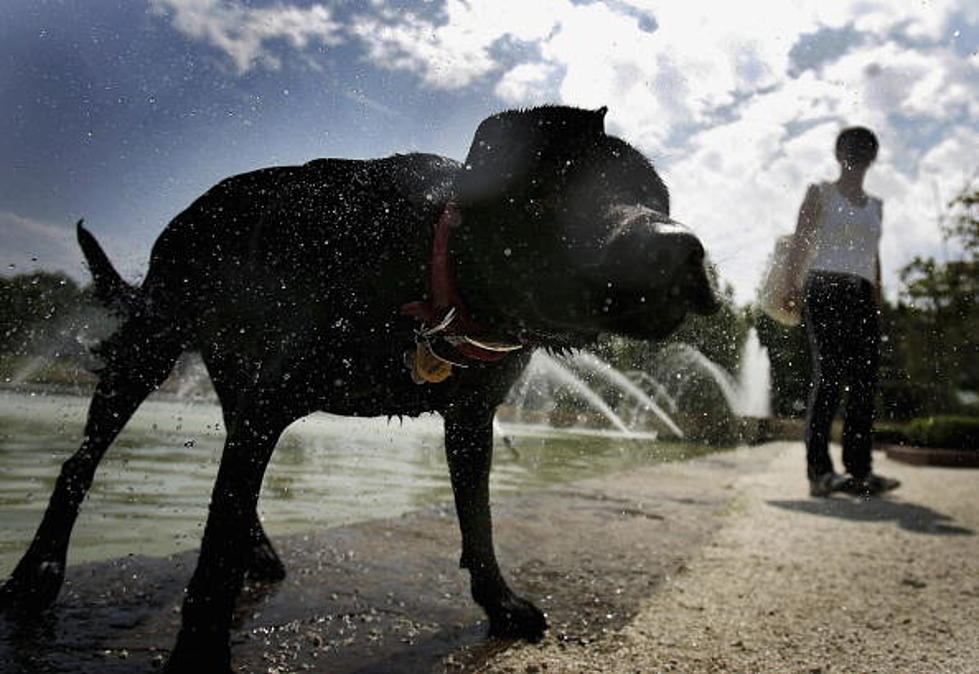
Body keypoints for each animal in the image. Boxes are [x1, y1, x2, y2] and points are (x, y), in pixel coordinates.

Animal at [0, 105, 720, 668]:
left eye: (660, 200)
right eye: (580, 190)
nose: (685, 248)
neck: (428, 270)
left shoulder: (470, 419)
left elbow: (479, 520)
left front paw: (501, 603)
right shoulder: (271, 403)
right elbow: (214, 549)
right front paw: (200, 651)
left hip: (228, 379)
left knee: (229, 485)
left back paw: (260, 549)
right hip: (151, 347)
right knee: (81, 463)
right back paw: (37, 572)